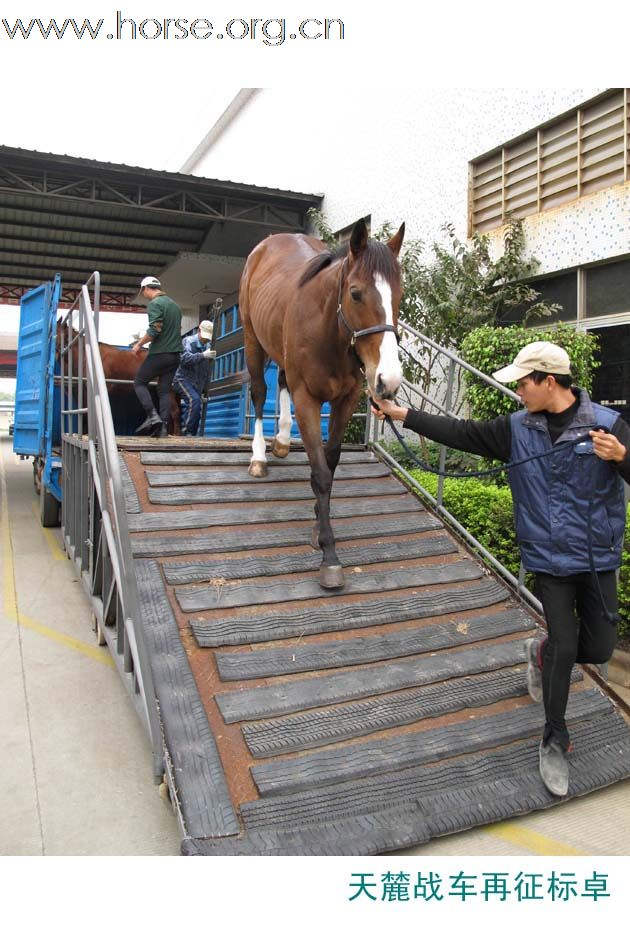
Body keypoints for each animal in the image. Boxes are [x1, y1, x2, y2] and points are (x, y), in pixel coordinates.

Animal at [239, 218, 408, 588]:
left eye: (400, 295)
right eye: (356, 293)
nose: (388, 381)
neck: (329, 331)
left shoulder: (346, 399)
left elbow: (330, 464)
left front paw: (319, 524)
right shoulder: (308, 399)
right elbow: (319, 474)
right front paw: (329, 555)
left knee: (281, 379)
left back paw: (282, 440)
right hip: (251, 337)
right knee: (259, 391)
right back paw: (259, 456)